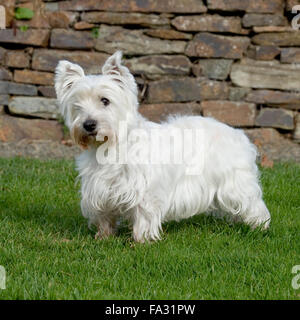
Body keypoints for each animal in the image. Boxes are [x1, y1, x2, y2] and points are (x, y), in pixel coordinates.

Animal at [54, 50, 272, 242]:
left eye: (105, 100)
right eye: (77, 106)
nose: (88, 125)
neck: (111, 146)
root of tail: (238, 134)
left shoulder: (145, 192)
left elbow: (144, 215)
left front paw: (141, 240)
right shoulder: (100, 190)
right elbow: (105, 216)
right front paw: (103, 237)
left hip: (235, 183)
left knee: (253, 204)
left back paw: (259, 227)